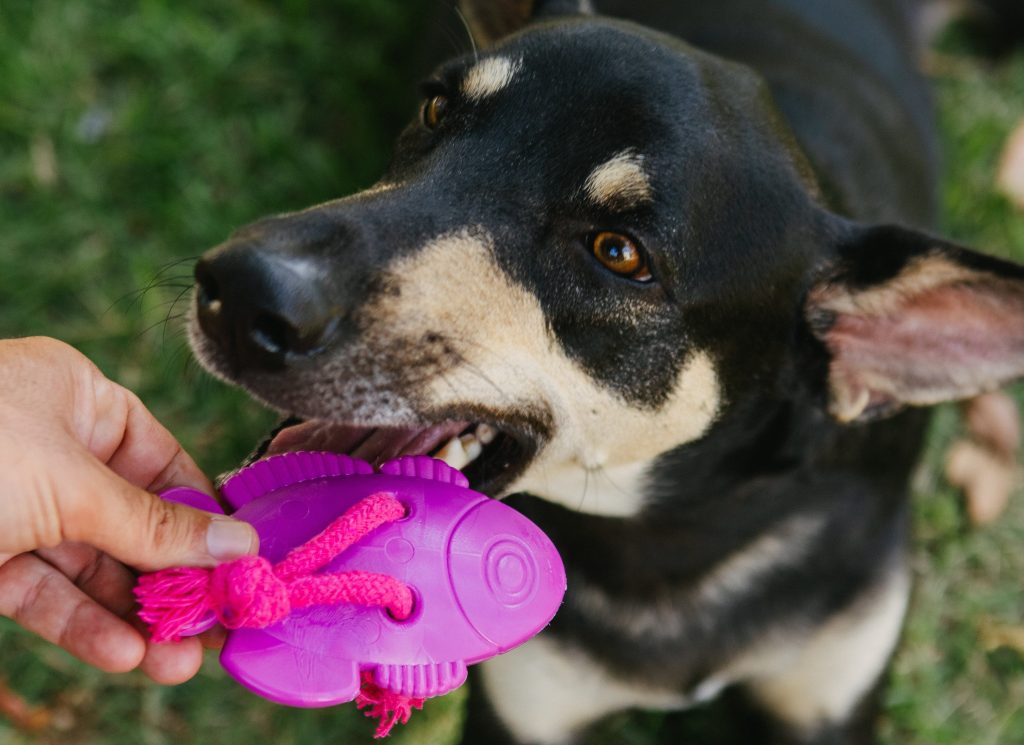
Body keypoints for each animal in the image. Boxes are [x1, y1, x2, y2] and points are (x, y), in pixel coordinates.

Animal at [184, 0, 1024, 740]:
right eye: (434, 110)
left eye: (618, 253)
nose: (239, 291)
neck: (668, 536)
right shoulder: (529, 708)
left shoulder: (831, 686)